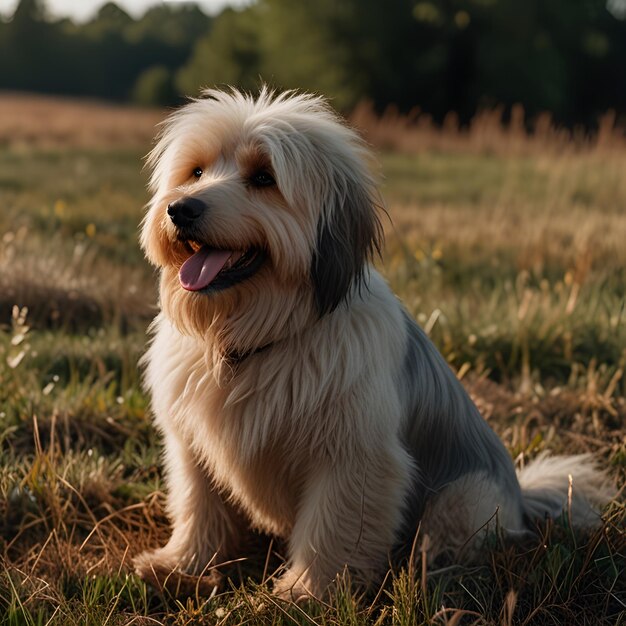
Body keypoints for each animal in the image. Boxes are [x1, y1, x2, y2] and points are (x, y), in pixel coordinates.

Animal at [134, 85, 612, 596]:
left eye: (264, 177)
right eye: (196, 172)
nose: (181, 209)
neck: (254, 337)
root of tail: (524, 497)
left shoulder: (355, 459)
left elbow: (330, 529)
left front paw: (307, 592)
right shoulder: (191, 449)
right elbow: (198, 509)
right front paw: (181, 565)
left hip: (467, 496)